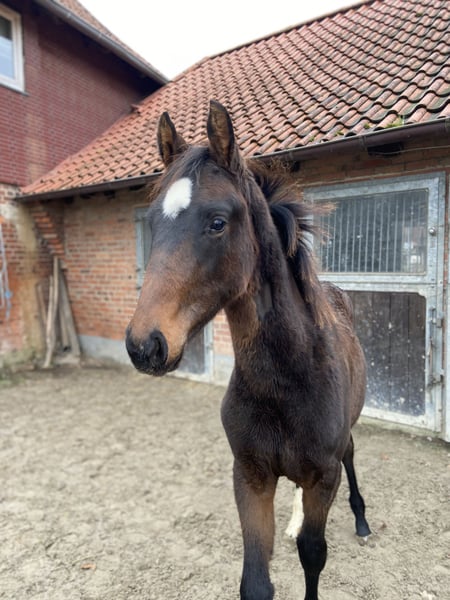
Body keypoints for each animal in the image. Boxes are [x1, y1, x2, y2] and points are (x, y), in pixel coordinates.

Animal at [126, 100, 371, 600]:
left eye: (217, 222)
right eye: (155, 222)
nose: (145, 345)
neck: (286, 381)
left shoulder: (324, 476)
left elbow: (313, 555)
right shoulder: (250, 475)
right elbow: (256, 580)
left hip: (345, 443)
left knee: (353, 456)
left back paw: (361, 520)